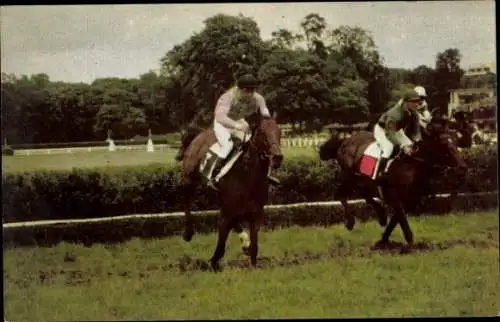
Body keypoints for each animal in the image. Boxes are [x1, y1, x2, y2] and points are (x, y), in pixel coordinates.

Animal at [178, 112, 284, 270]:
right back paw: (188, 232)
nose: (277, 157)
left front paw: (250, 256)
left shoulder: (255, 214)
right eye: (262, 133)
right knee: (186, 201)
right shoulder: (227, 213)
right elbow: (221, 244)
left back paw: (244, 242)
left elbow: (254, 247)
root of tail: (199, 134)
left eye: (279, 132)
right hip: (189, 179)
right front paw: (213, 262)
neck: (247, 178)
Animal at [318, 123, 466, 249]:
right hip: (348, 176)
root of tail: (345, 141)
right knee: (340, 194)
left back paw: (381, 215)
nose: (462, 167)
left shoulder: (409, 199)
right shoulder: (395, 196)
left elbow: (396, 219)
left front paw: (383, 239)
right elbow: (402, 219)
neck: (412, 163)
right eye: (444, 144)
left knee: (362, 193)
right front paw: (410, 244)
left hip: (362, 180)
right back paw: (350, 222)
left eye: (457, 142)